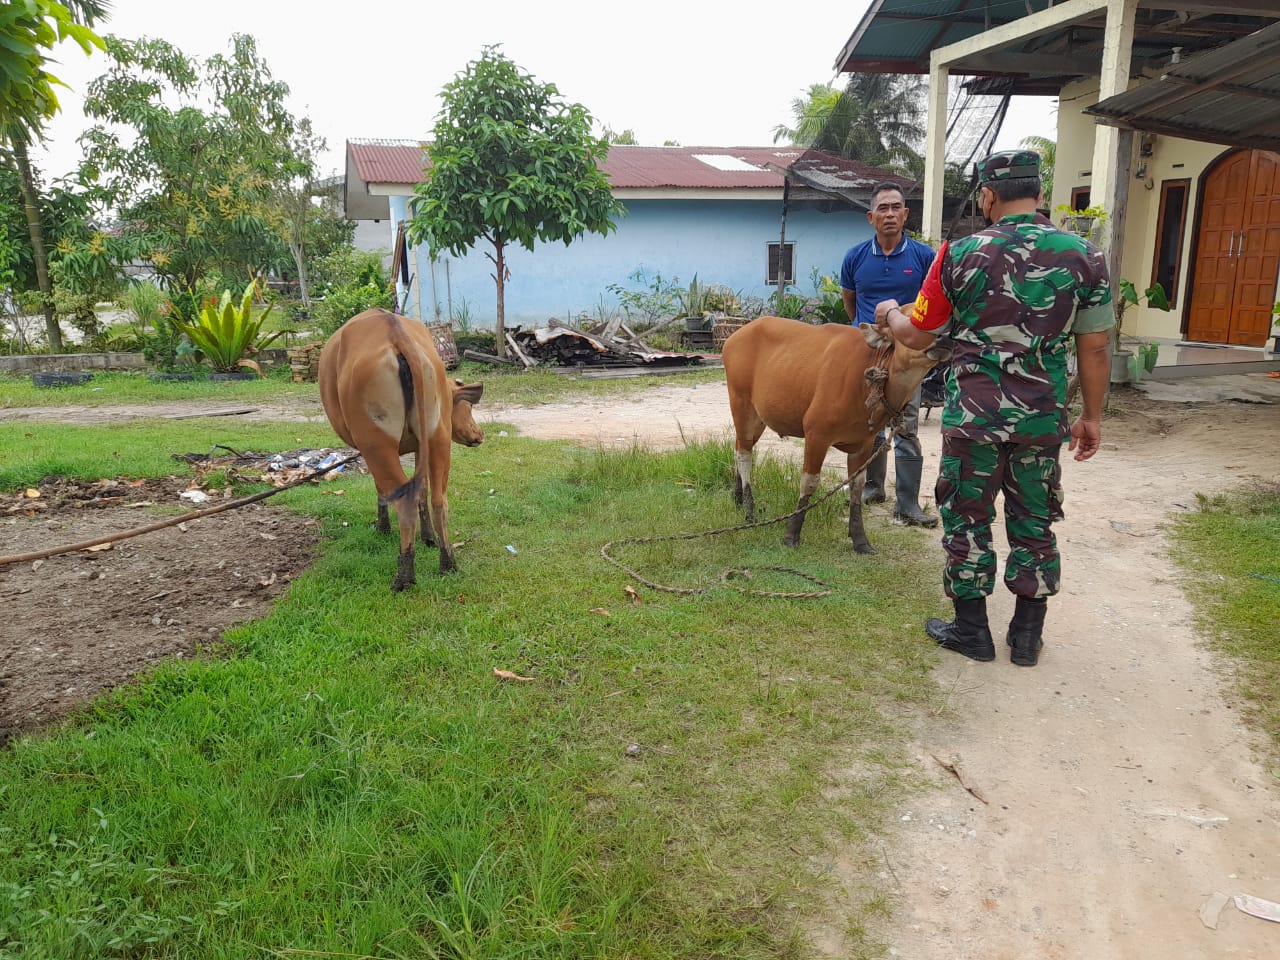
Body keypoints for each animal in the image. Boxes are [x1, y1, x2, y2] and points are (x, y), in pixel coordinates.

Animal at [317, 312, 481, 591]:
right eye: (467, 407)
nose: (479, 434)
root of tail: (395, 331)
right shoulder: (421, 446)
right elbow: (422, 490)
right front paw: (427, 537)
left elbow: (383, 490)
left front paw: (382, 527)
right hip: (438, 436)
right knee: (439, 500)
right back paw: (447, 562)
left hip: (376, 443)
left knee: (403, 499)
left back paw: (404, 576)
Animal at [721, 316, 952, 555]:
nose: (944, 338)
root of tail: (734, 337)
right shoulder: (816, 434)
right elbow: (809, 483)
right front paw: (791, 535)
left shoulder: (865, 443)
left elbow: (857, 487)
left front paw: (860, 540)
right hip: (742, 405)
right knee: (744, 455)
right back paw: (749, 510)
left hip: (758, 417)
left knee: (739, 447)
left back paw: (738, 498)